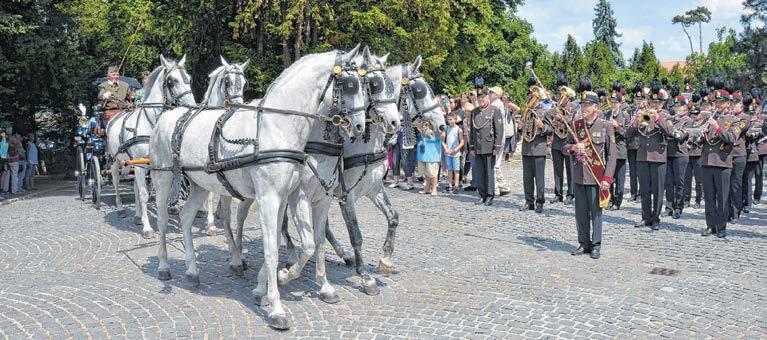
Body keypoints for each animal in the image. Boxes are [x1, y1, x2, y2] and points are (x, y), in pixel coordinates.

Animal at [109, 54, 198, 238]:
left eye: (189, 79)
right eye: (172, 81)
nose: (192, 105)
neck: (151, 123)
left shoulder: (156, 165)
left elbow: (155, 192)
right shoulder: (141, 165)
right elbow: (145, 194)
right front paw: (147, 228)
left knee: (135, 186)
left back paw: (137, 216)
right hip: (115, 160)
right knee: (115, 181)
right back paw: (120, 209)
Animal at [152, 45, 368, 330]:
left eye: (366, 84)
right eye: (350, 84)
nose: (360, 127)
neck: (276, 127)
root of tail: (168, 114)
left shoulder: (285, 197)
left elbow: (294, 242)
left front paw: (269, 286)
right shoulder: (271, 198)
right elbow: (274, 249)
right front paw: (277, 305)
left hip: (201, 184)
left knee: (187, 217)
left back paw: (192, 270)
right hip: (163, 179)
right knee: (163, 220)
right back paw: (165, 267)